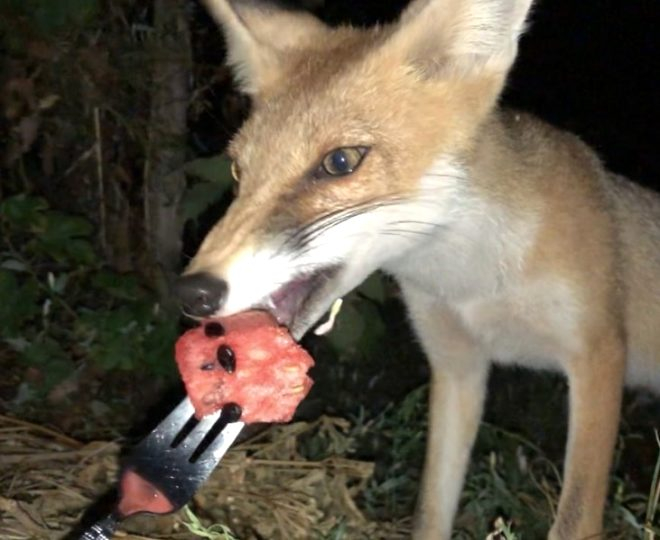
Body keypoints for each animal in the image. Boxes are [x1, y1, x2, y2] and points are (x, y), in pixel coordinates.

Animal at [175, 1, 660, 540]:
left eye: (340, 162)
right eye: (238, 171)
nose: (192, 293)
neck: (475, 282)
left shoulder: (598, 355)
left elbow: (574, 519)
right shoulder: (456, 367)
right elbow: (432, 511)